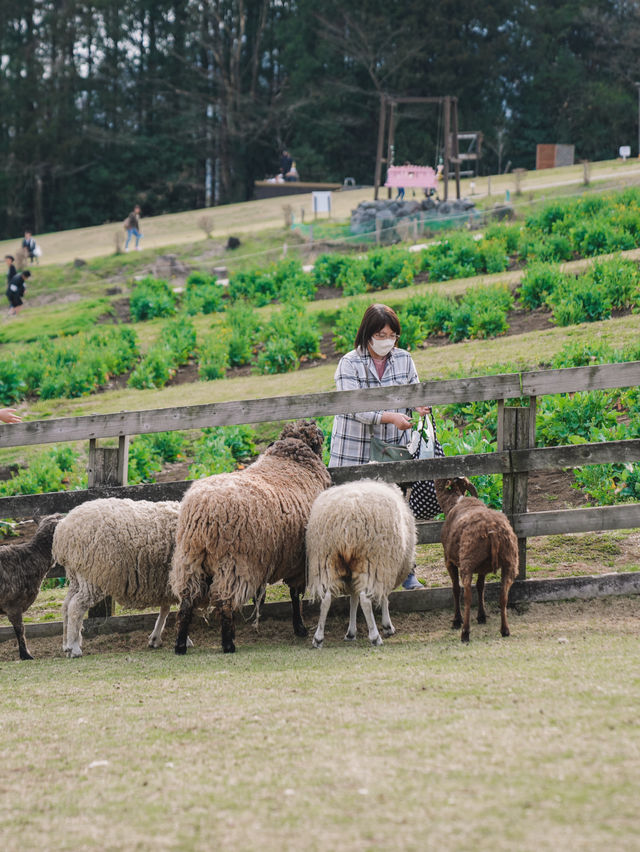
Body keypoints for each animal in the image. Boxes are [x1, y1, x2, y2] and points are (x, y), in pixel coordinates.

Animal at [53, 500, 181, 660]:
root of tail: (63, 530)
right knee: (76, 607)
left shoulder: (166, 583)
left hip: (75, 577)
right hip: (92, 575)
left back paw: (66, 644)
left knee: (66, 606)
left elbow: (165, 608)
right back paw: (74, 648)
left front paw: (155, 638)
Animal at [170, 420, 330, 652]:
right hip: (234, 562)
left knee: (186, 603)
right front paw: (299, 628)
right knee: (225, 602)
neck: (291, 459)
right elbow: (295, 596)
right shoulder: (299, 561)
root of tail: (204, 512)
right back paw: (228, 643)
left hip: (190, 559)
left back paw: (181, 645)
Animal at [306, 480, 418, 644]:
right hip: (373, 560)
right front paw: (387, 626)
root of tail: (346, 523)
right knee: (365, 599)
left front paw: (351, 632)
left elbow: (353, 600)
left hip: (327, 561)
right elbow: (383, 597)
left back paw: (318, 637)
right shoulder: (387, 567)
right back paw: (375, 636)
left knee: (326, 598)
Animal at [436, 476, 520, 644]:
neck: (455, 501)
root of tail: (493, 532)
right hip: (510, 560)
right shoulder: (483, 567)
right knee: (503, 595)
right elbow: (481, 587)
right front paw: (481, 616)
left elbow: (455, 589)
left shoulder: (449, 560)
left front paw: (457, 620)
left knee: (467, 595)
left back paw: (465, 632)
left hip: (468, 560)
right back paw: (505, 630)